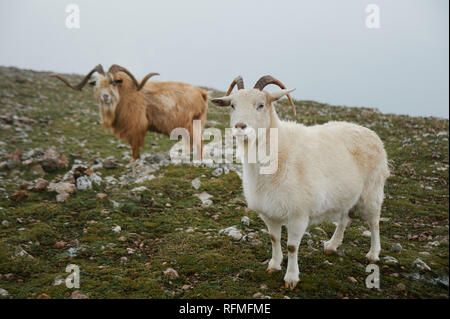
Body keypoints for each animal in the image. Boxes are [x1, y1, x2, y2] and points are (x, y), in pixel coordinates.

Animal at [50, 65, 208, 161]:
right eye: (95, 83)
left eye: (114, 81)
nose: (105, 96)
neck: (125, 93)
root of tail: (201, 93)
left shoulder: (136, 127)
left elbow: (135, 146)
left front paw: (134, 160)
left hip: (189, 125)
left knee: (198, 142)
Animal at [211, 76, 390, 292]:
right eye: (232, 105)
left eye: (261, 105)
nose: (240, 127)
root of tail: (369, 132)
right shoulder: (269, 212)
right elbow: (274, 238)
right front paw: (273, 265)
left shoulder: (298, 214)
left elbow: (292, 246)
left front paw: (291, 278)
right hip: (345, 195)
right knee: (344, 219)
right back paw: (332, 246)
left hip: (372, 192)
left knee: (374, 223)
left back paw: (373, 254)